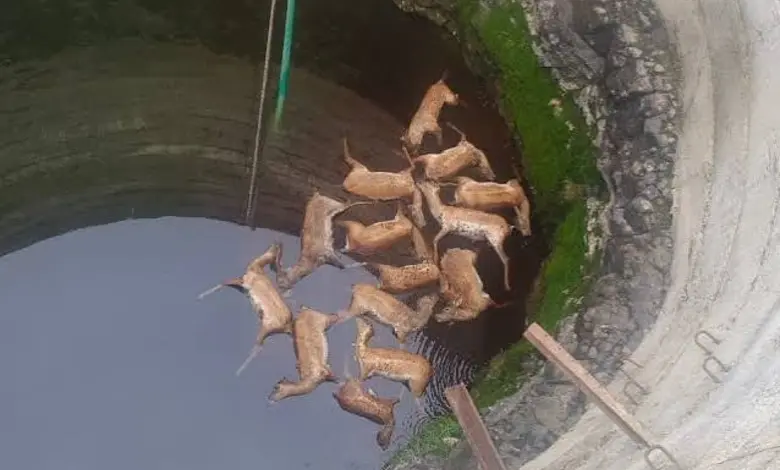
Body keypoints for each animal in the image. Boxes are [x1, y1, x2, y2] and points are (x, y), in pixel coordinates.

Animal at [197, 243, 293, 376]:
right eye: (279, 257)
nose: (280, 269)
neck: (256, 268)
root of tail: (288, 323)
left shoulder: (241, 282)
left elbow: (223, 283)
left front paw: (199, 296)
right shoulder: (240, 286)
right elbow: (223, 284)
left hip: (265, 329)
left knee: (258, 347)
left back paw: (238, 371)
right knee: (259, 347)